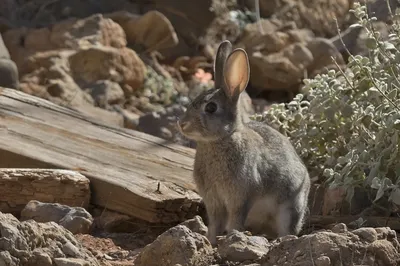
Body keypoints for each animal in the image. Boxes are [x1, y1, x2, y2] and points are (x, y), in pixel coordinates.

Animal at [177, 39, 310, 245]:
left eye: (211, 107)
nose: (182, 124)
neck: (221, 139)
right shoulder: (214, 200)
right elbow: (214, 223)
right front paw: (210, 242)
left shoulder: (241, 198)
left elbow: (235, 222)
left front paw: (230, 240)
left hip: (290, 209)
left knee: (287, 229)